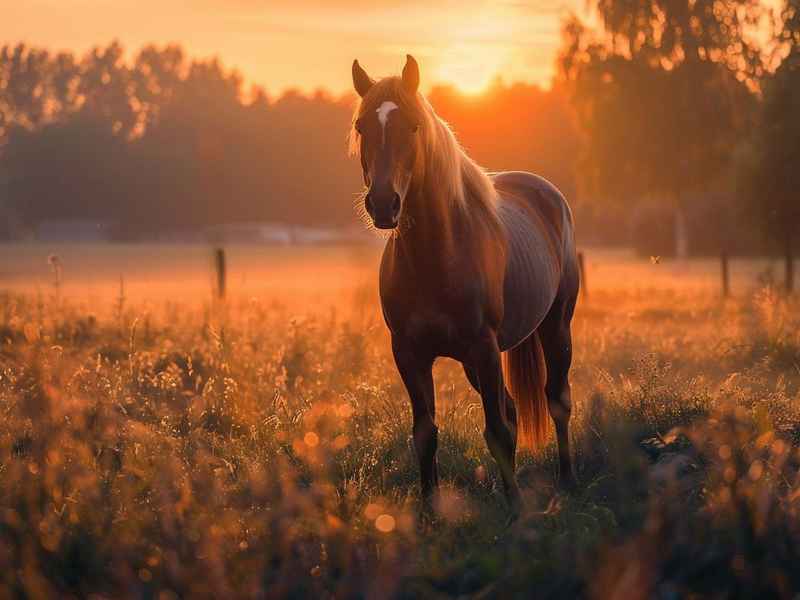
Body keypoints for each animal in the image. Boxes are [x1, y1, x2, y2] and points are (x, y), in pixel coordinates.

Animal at [349, 55, 579, 516]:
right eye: (362, 126)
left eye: (414, 126)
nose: (383, 204)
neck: (436, 257)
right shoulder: (410, 354)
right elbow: (425, 433)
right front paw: (429, 511)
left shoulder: (484, 347)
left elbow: (498, 432)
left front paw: (515, 509)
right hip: (477, 363)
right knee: (512, 406)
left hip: (554, 329)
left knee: (556, 400)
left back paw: (566, 481)